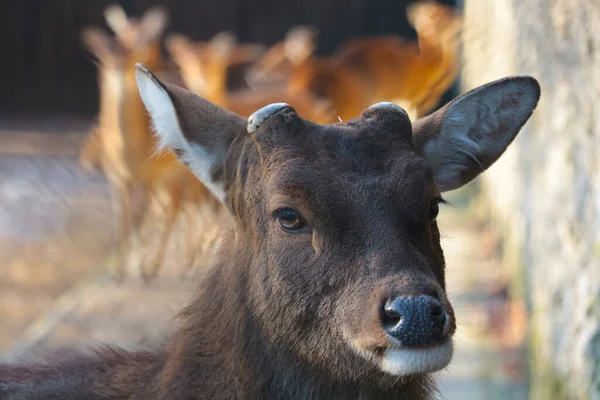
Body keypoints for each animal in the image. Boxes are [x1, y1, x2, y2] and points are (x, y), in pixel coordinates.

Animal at [79, 6, 220, 282]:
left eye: (130, 51)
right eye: (105, 54)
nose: (120, 70)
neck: (126, 152)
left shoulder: (147, 173)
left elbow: (140, 219)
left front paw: (139, 267)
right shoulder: (117, 176)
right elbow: (123, 220)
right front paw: (120, 272)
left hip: (177, 173)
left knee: (182, 209)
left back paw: (177, 264)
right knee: (176, 210)